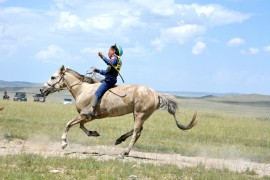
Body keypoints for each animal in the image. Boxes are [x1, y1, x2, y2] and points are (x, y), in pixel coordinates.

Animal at [39, 65, 196, 158]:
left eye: (53, 77)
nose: (41, 90)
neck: (82, 90)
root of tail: (156, 94)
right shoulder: (87, 117)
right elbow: (80, 126)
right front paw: (94, 133)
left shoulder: (84, 115)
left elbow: (68, 124)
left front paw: (64, 143)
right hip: (139, 115)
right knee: (138, 131)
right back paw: (119, 140)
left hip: (140, 114)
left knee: (137, 132)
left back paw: (124, 152)